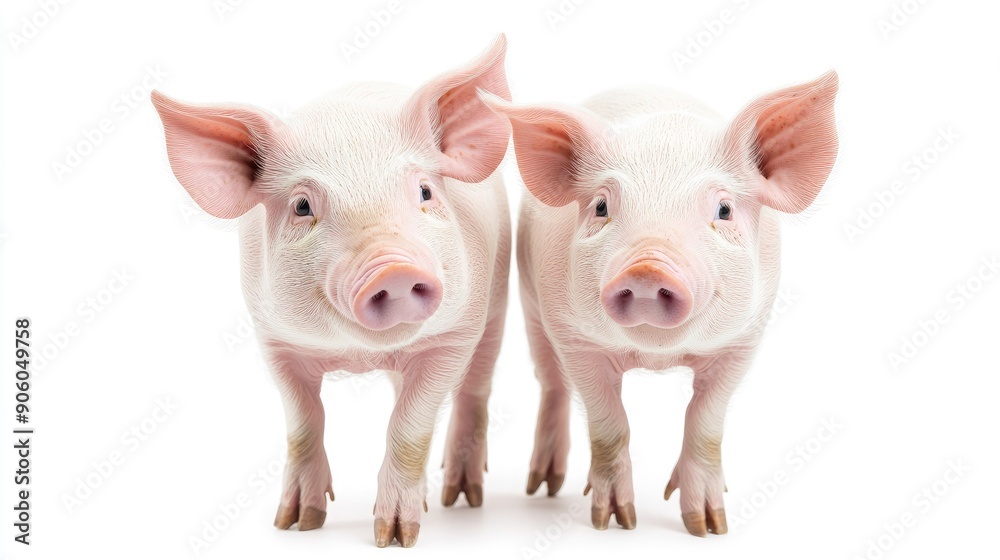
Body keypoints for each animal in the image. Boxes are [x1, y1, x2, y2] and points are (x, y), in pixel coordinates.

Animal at [151, 36, 513, 548]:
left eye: (424, 192)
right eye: (303, 205)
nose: (393, 268)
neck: (359, 354)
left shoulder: (453, 336)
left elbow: (410, 427)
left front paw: (394, 538)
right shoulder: (274, 339)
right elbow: (303, 423)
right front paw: (295, 523)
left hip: (496, 301)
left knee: (476, 387)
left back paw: (462, 498)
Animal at [483, 71, 838, 535]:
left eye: (724, 210)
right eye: (601, 206)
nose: (648, 269)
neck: (656, 356)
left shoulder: (745, 339)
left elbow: (706, 422)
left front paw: (708, 527)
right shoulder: (574, 337)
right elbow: (608, 422)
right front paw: (616, 522)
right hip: (530, 300)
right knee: (552, 381)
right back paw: (543, 487)